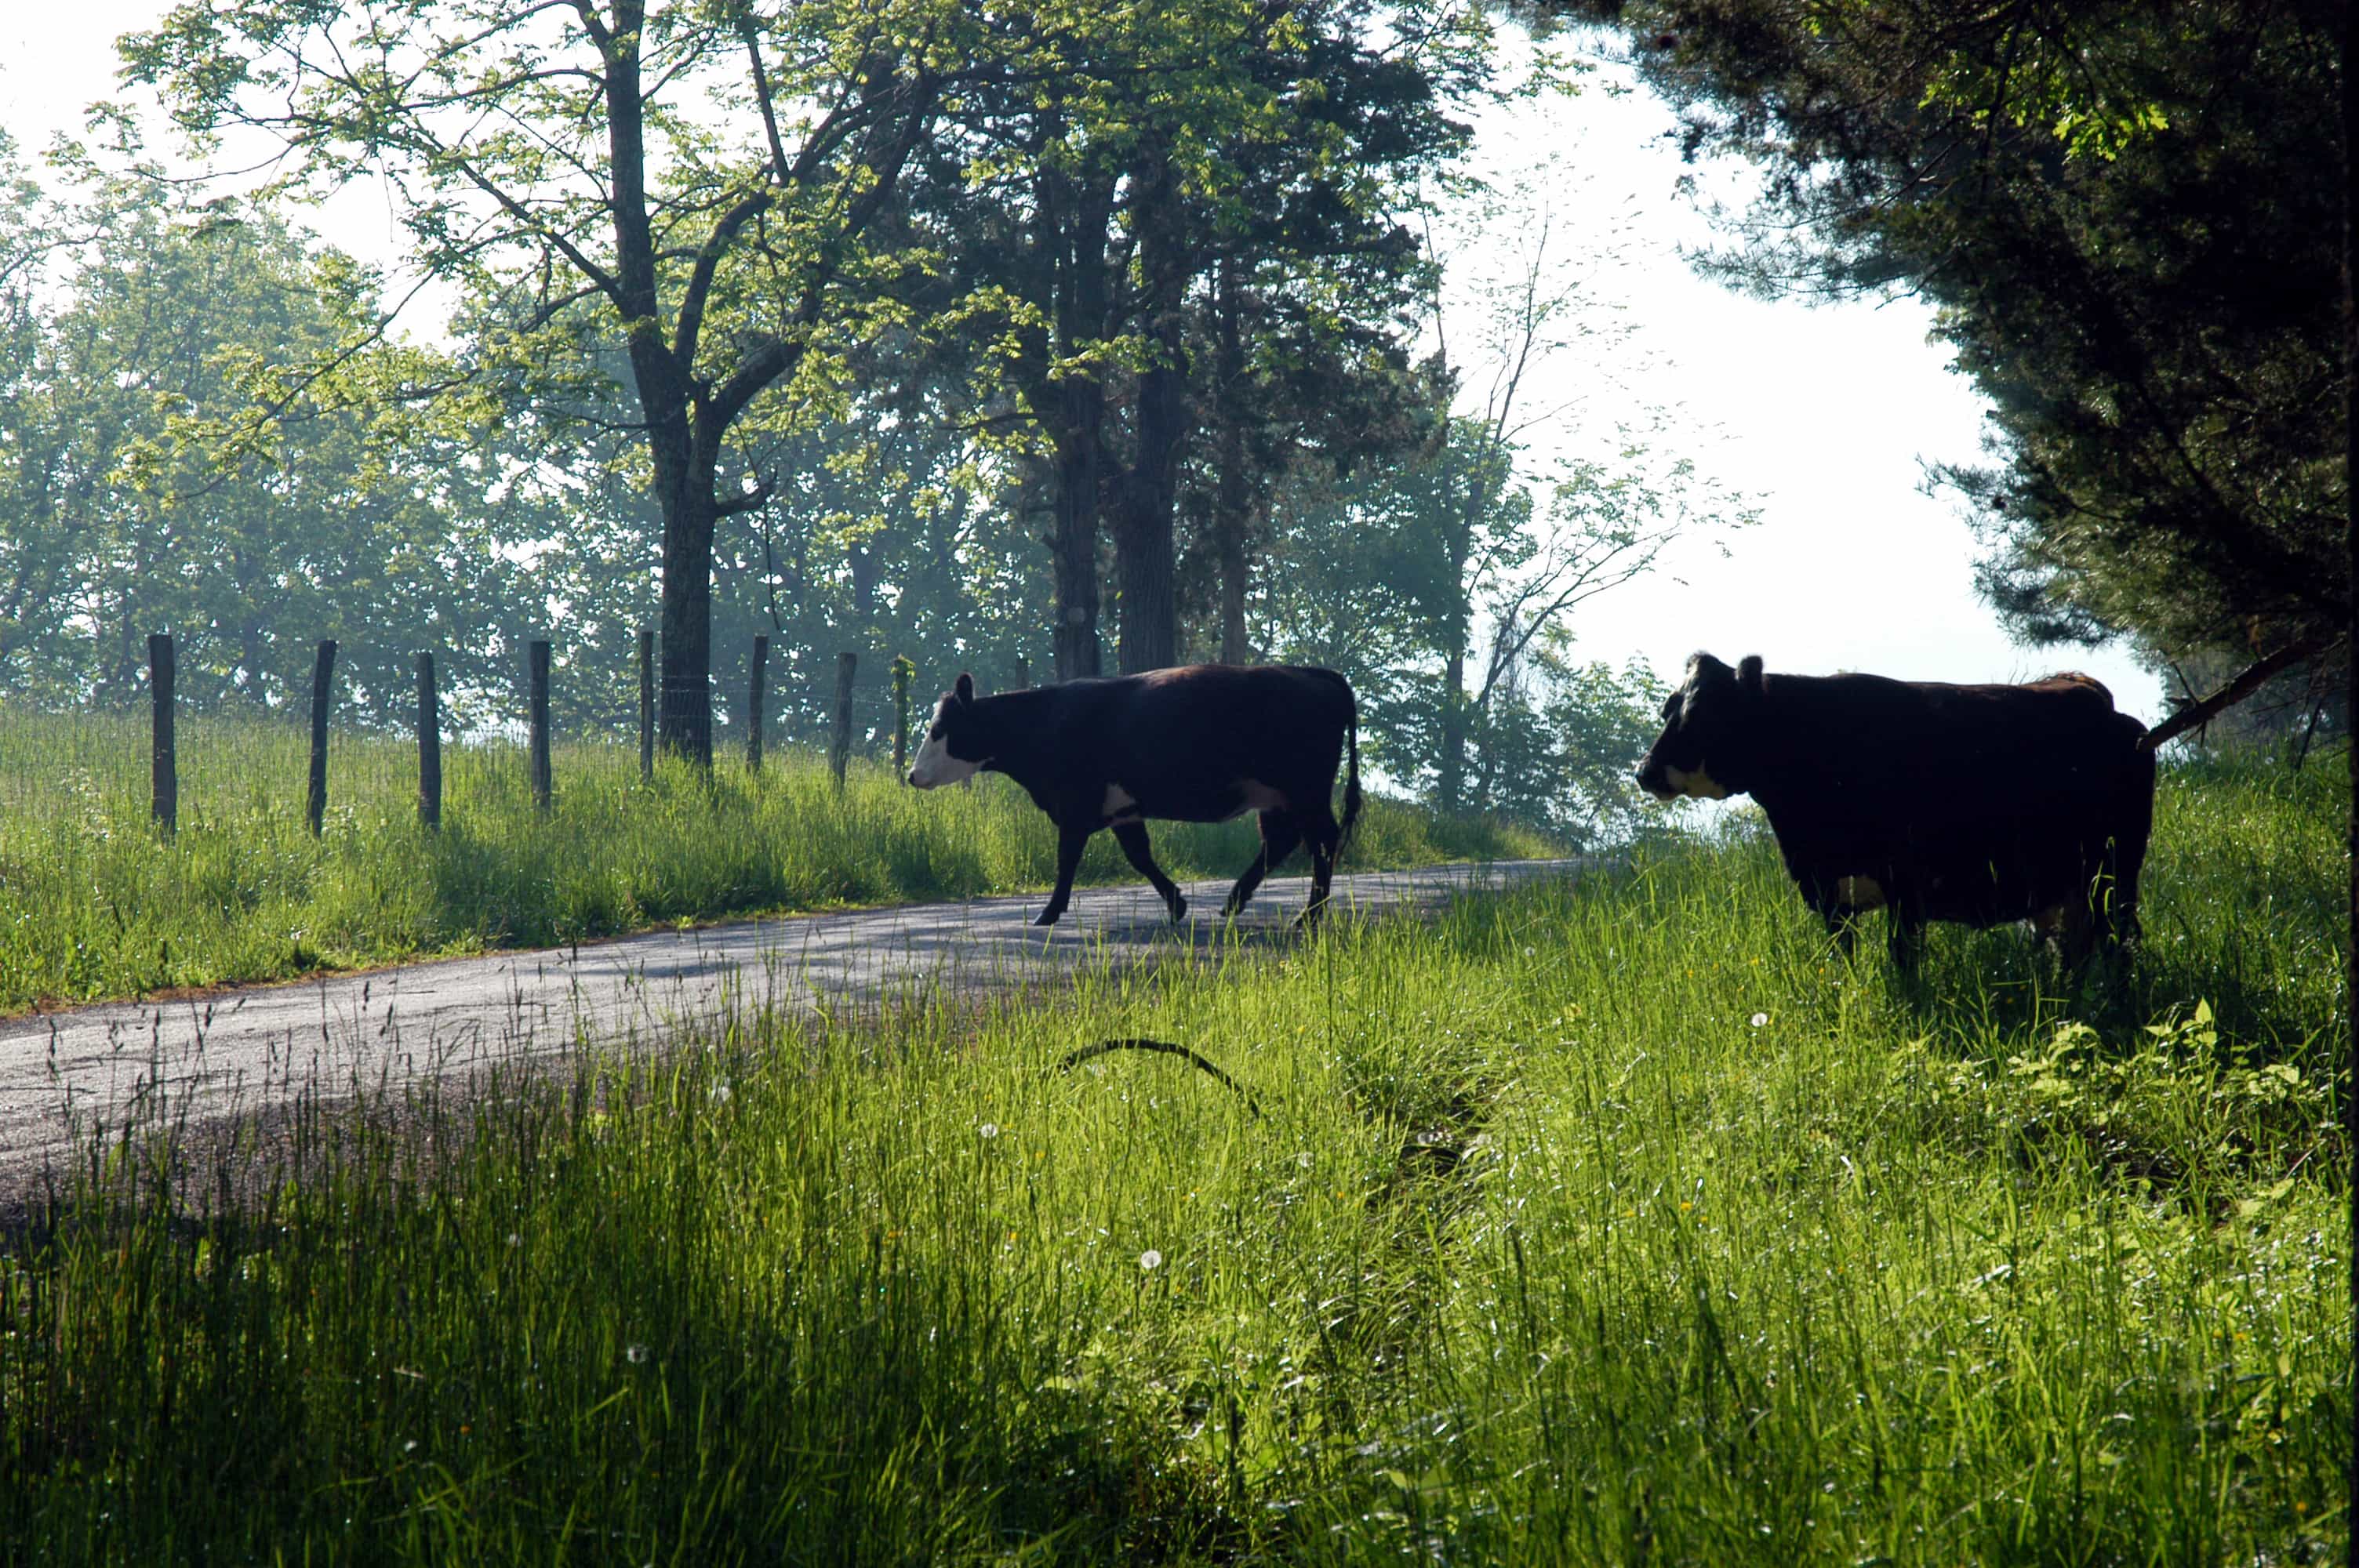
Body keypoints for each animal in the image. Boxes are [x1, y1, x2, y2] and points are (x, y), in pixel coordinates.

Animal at [911, 665, 1377, 928]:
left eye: (938, 729)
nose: (913, 775)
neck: (1045, 721)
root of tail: (1312, 672)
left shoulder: (1075, 805)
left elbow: (1067, 860)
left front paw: (1048, 913)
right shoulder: (1121, 810)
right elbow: (1140, 857)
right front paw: (1177, 904)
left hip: (1306, 792)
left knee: (1322, 842)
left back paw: (1308, 915)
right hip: (1278, 798)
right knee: (1281, 843)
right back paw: (1234, 903)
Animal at [1641, 651, 2161, 967]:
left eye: (1704, 715)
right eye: (1669, 708)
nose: (1645, 771)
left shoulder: (1906, 887)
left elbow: (1903, 960)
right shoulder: (1828, 891)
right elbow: (1842, 959)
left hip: (2116, 869)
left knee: (2121, 939)